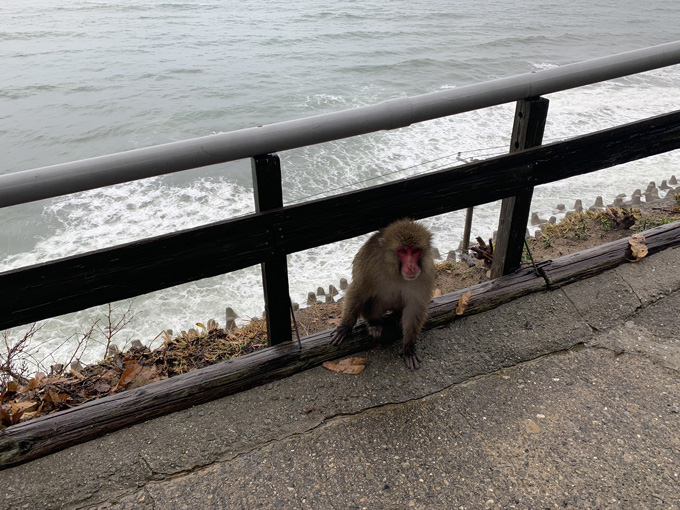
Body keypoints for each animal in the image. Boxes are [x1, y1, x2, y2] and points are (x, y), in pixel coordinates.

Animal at [330, 218, 436, 370]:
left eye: (415, 251)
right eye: (403, 251)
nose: (411, 267)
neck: (396, 272)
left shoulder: (426, 274)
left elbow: (415, 307)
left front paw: (409, 348)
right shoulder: (370, 265)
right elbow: (358, 291)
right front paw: (345, 327)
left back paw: (396, 316)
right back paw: (374, 322)